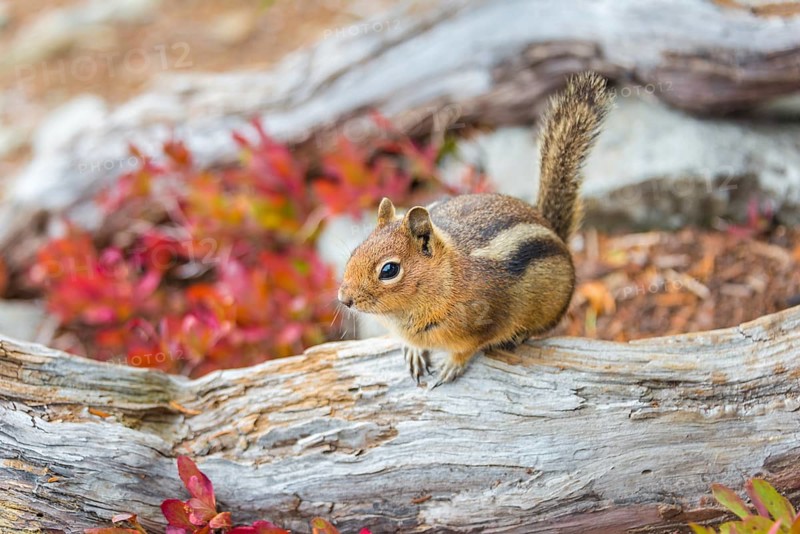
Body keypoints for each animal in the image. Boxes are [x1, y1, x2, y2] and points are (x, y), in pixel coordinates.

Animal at [338, 72, 612, 387]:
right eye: (354, 251)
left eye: (389, 270)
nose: (344, 299)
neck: (448, 277)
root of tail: (554, 231)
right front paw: (414, 351)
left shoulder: (484, 322)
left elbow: (469, 348)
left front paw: (451, 365)